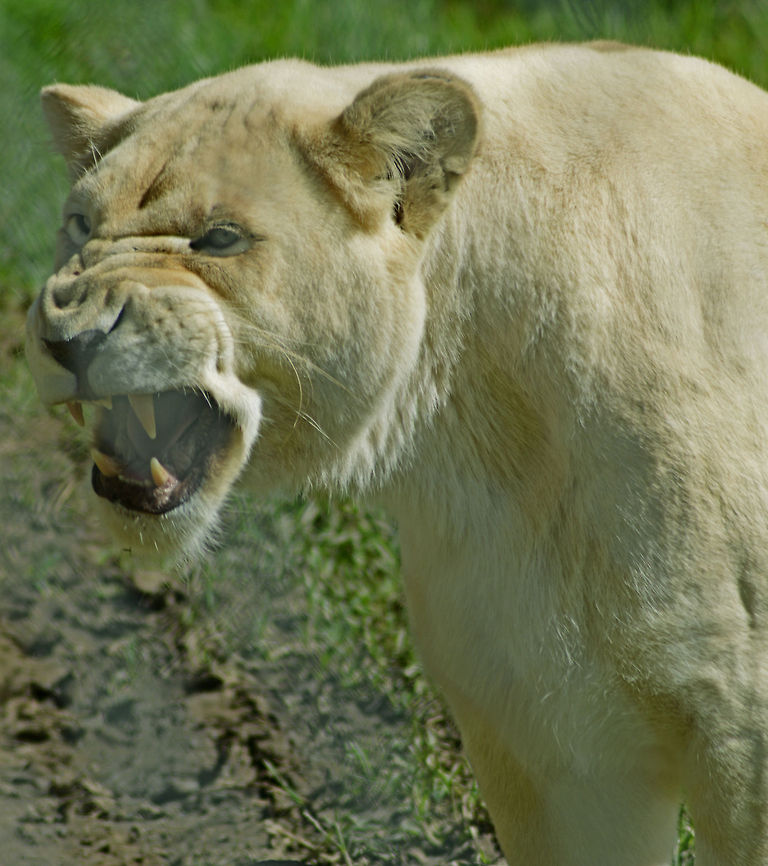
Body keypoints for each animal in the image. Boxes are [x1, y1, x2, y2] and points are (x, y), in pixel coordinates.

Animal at [25, 41, 768, 864]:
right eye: (78, 223)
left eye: (220, 238)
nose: (69, 335)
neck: (483, 447)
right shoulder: (546, 740)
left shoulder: (741, 729)